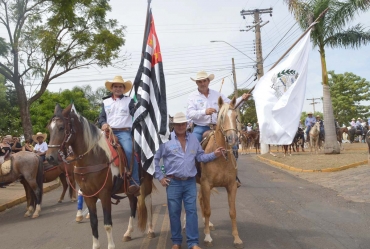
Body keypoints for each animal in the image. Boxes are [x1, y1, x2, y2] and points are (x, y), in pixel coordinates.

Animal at [44, 104, 146, 248]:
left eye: (61, 127)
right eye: (49, 128)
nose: (49, 157)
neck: (93, 157)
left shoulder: (104, 194)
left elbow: (107, 223)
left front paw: (111, 246)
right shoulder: (88, 195)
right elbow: (93, 223)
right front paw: (95, 245)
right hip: (128, 189)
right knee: (133, 204)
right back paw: (128, 233)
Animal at [198, 96, 244, 248]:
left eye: (236, 116)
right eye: (222, 116)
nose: (233, 138)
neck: (220, 157)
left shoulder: (231, 186)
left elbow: (233, 212)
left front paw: (236, 238)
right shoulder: (206, 185)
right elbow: (208, 210)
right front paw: (207, 237)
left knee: (200, 199)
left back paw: (208, 224)